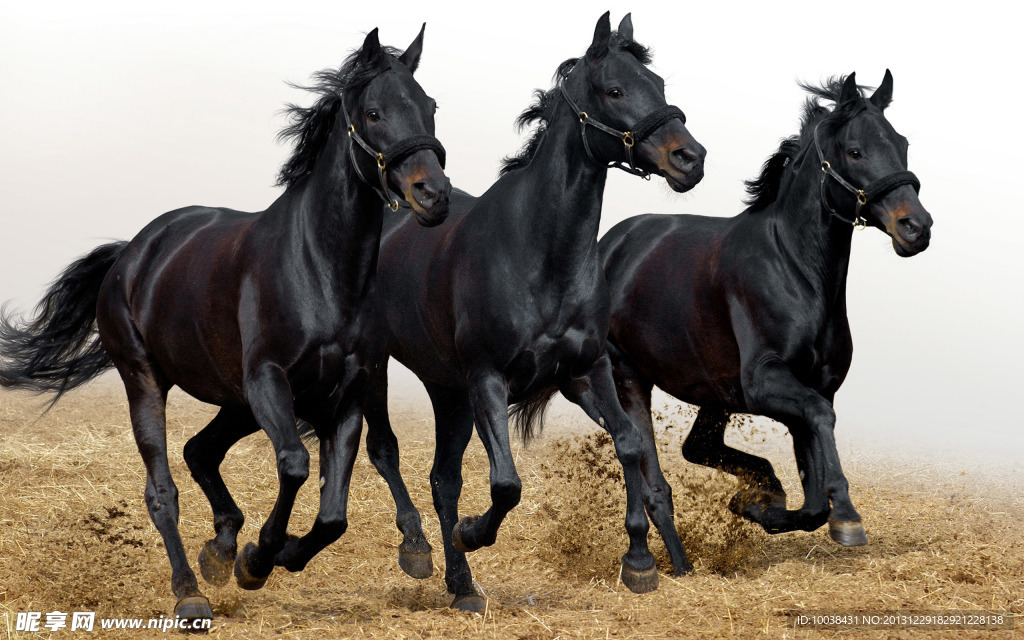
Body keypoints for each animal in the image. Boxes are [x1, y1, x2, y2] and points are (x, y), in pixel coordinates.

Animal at [0, 26, 450, 625]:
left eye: (430, 107)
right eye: (374, 112)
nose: (434, 195)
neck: (320, 269)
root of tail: (132, 253)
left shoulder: (348, 392)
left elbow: (334, 512)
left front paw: (275, 554)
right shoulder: (268, 381)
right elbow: (295, 464)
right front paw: (258, 559)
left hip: (234, 401)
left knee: (199, 451)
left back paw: (219, 548)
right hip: (148, 381)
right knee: (163, 489)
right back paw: (191, 590)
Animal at [361, 13, 705, 611]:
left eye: (658, 84)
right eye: (615, 90)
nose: (690, 158)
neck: (539, 254)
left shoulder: (586, 371)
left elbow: (630, 444)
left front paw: (639, 561)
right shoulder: (488, 381)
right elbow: (505, 484)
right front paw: (473, 532)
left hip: (447, 389)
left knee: (443, 479)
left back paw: (462, 587)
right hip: (382, 366)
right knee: (387, 452)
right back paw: (419, 550)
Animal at [598, 71, 932, 575]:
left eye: (903, 144)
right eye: (855, 151)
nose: (917, 227)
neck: (795, 270)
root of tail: (608, 247)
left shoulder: (814, 387)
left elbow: (812, 498)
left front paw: (758, 506)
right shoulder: (765, 383)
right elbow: (820, 429)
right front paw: (847, 517)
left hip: (712, 392)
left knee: (697, 448)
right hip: (629, 377)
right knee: (655, 482)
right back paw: (673, 566)